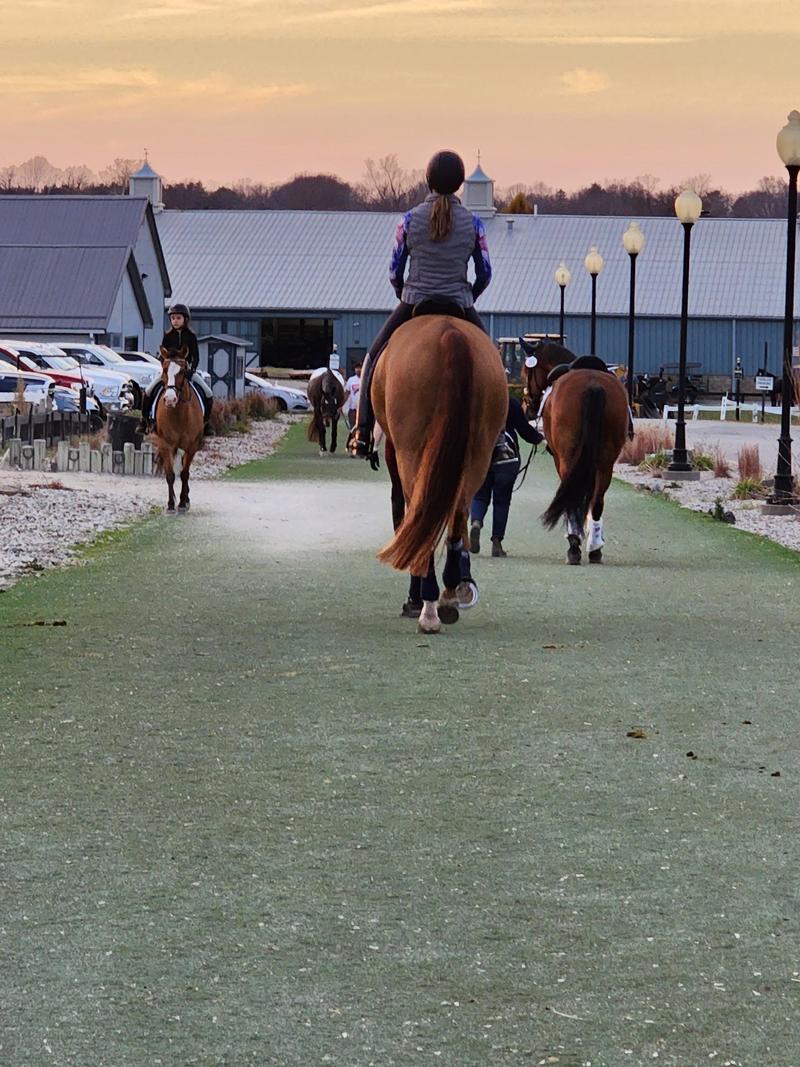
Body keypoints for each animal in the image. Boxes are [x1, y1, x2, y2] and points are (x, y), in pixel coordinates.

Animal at [151, 345, 204, 512]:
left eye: (183, 371)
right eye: (164, 369)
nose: (169, 399)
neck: (178, 415)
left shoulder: (191, 446)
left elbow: (185, 474)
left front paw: (182, 502)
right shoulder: (165, 445)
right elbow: (170, 475)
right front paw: (170, 505)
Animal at [371, 313, 507, 631]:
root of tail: (449, 335)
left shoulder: (396, 457)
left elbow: (402, 514)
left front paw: (414, 599)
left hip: (411, 454)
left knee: (421, 518)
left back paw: (428, 607)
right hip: (478, 454)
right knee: (457, 515)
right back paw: (447, 597)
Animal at [520, 339, 631, 567]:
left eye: (525, 372)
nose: (528, 408)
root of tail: (593, 385)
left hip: (567, 458)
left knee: (571, 497)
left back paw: (573, 546)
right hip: (606, 461)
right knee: (597, 502)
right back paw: (595, 547)